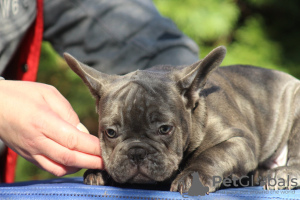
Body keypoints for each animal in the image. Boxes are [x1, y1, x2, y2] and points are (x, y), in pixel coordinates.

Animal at [62, 46, 300, 193]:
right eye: (110, 132)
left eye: (165, 129)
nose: (137, 152)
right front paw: (99, 171)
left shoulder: (239, 141)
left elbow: (212, 155)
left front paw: (191, 177)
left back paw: (283, 174)